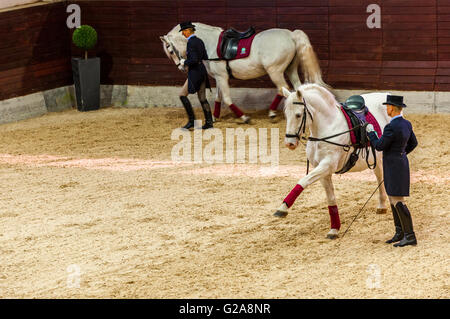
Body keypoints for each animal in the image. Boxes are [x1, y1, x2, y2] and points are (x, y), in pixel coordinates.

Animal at [160, 22, 326, 122]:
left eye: (170, 50)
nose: (181, 67)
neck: (209, 43)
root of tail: (290, 35)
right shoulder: (220, 77)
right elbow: (219, 97)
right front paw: (214, 116)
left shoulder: (222, 77)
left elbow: (227, 98)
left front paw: (244, 117)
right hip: (290, 69)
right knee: (297, 89)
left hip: (275, 71)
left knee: (282, 88)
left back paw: (272, 112)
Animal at [274, 85, 390, 240]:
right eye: (286, 115)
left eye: (298, 115)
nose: (289, 143)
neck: (326, 128)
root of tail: (386, 94)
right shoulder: (323, 170)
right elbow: (330, 199)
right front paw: (334, 229)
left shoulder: (327, 165)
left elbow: (303, 180)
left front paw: (283, 208)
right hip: (375, 158)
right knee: (379, 175)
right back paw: (382, 205)